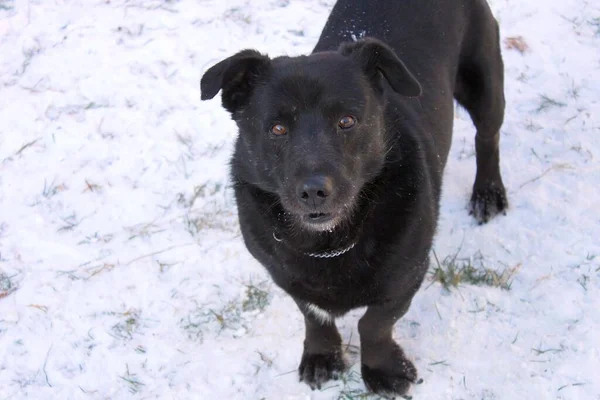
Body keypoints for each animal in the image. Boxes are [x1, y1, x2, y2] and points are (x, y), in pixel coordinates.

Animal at [200, 0, 506, 394]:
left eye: (347, 121)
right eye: (277, 128)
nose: (314, 190)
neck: (330, 241)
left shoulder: (407, 276)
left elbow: (373, 324)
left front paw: (383, 370)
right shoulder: (285, 276)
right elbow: (314, 316)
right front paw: (323, 356)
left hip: (485, 83)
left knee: (488, 137)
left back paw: (488, 192)